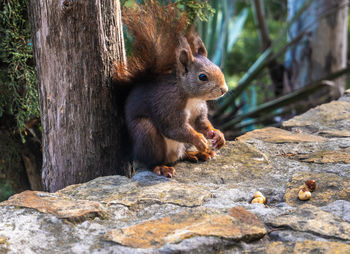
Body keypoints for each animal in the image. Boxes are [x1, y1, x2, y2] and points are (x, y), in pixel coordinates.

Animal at [112, 0, 227, 179]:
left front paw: (217, 134)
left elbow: (202, 123)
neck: (190, 97)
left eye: (217, 67)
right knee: (150, 161)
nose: (224, 90)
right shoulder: (167, 106)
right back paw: (161, 167)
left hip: (181, 146)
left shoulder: (199, 111)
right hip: (146, 134)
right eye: (203, 77)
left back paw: (197, 154)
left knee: (181, 155)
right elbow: (175, 128)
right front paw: (199, 140)